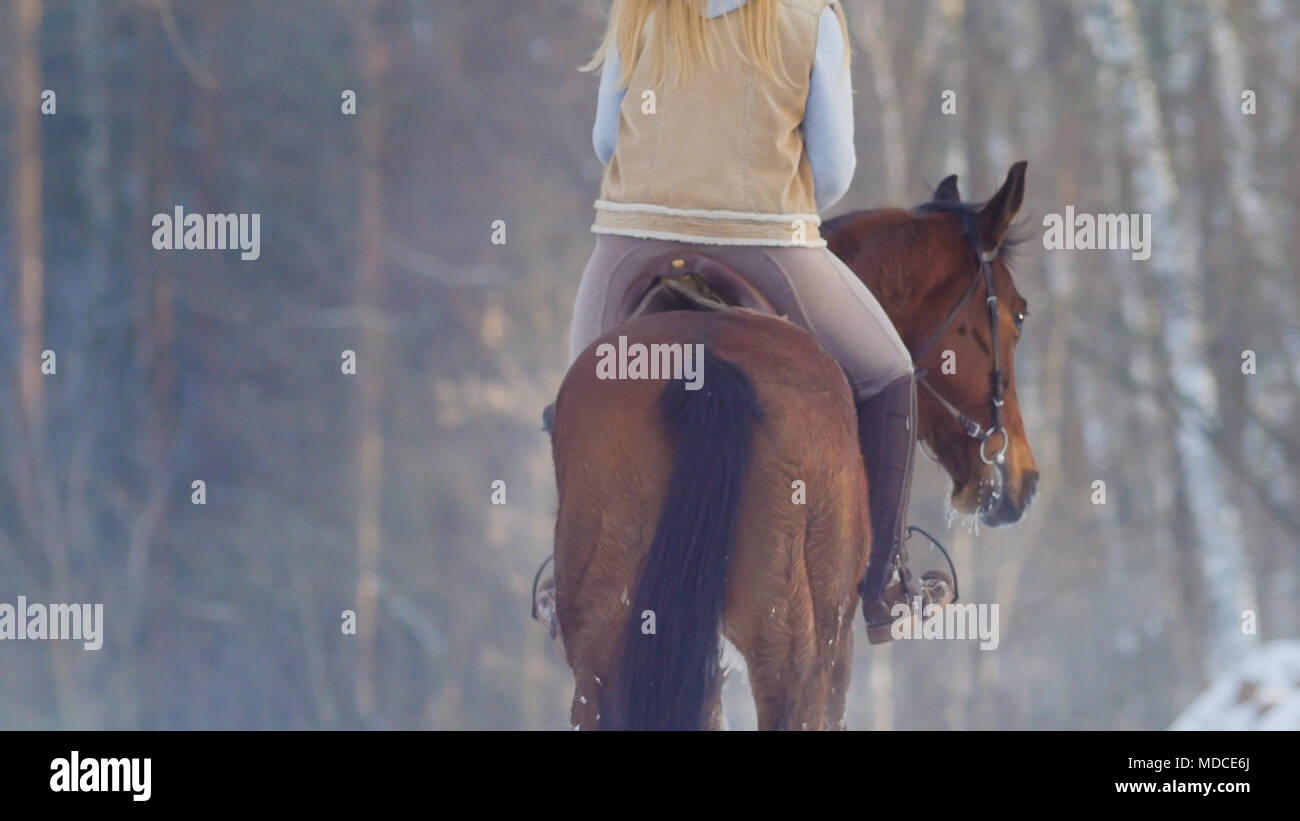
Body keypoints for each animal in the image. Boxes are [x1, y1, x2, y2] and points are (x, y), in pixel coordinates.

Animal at [548, 162, 1037, 730]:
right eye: (1018, 315)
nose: (1023, 480)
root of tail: (704, 360)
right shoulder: (836, 650)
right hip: (796, 649)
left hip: (604, 656)